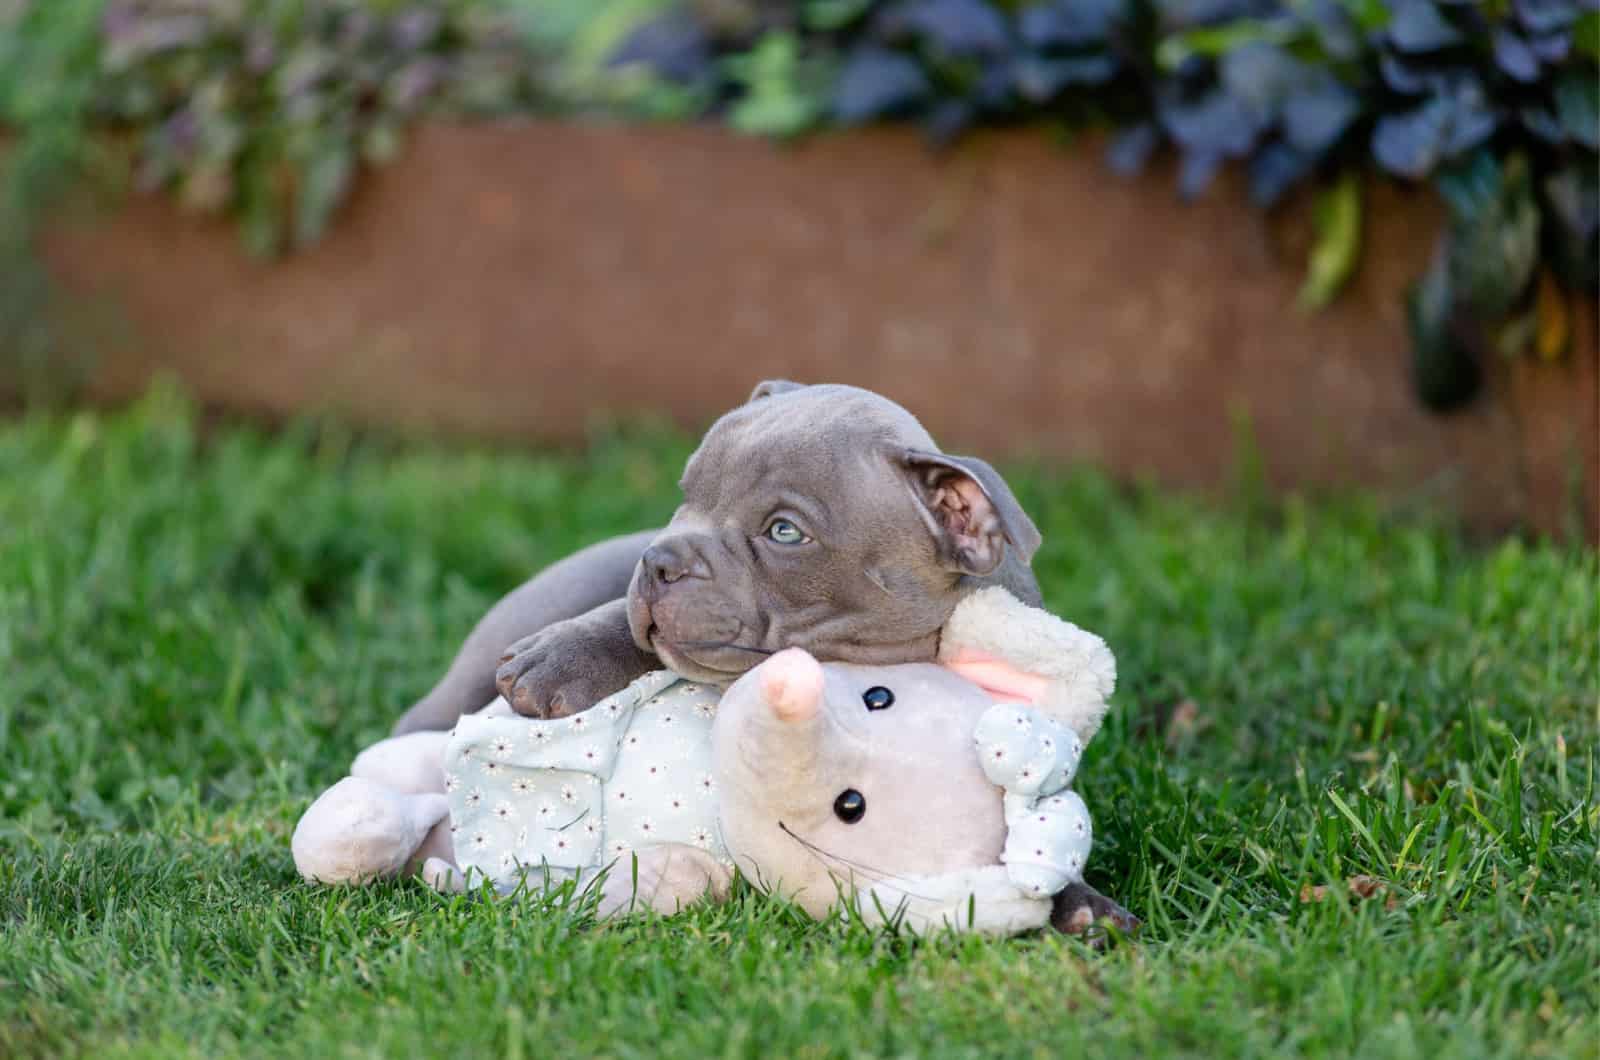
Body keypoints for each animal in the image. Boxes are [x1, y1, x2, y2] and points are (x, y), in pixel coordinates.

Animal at [392, 382, 1132, 941]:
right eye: (686, 490)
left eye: (784, 532)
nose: (658, 561)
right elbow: (629, 633)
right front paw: (559, 660)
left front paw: (1081, 902)